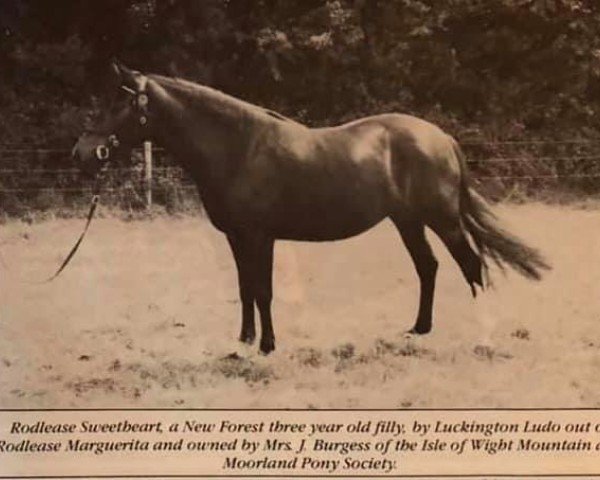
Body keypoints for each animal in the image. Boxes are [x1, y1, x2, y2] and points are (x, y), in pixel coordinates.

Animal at [70, 63, 548, 354]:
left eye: (118, 103)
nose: (83, 153)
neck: (238, 146)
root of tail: (441, 137)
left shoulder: (260, 236)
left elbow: (263, 289)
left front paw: (267, 347)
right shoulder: (237, 238)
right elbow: (246, 288)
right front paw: (243, 342)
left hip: (442, 219)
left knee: (472, 265)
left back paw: (483, 338)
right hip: (407, 220)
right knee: (428, 267)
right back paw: (418, 330)